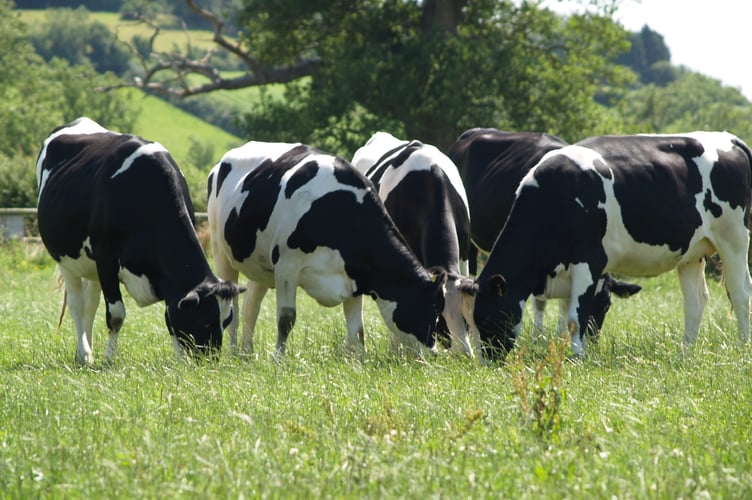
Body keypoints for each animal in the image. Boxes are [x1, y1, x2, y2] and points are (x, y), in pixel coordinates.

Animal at [36, 118, 242, 366]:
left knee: (90, 304)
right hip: (65, 258)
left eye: (226, 321)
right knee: (77, 303)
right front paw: (109, 360)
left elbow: (170, 315)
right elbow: (116, 316)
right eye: (204, 320)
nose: (210, 361)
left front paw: (179, 360)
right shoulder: (106, 257)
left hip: (91, 267)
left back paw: (87, 352)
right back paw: (84, 354)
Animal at [207, 142, 446, 360]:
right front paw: (279, 360)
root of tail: (223, 160)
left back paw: (247, 354)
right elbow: (286, 319)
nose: (434, 353)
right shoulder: (287, 265)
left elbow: (357, 329)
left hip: (262, 267)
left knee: (251, 308)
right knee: (234, 308)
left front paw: (360, 363)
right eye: (433, 310)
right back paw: (235, 353)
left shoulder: (354, 279)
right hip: (221, 251)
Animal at [446, 127, 640, 342]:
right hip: (469, 239)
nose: (591, 340)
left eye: (606, 305)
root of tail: (475, 131)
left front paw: (561, 336)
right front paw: (538, 338)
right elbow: (541, 301)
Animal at [476, 132, 752, 360]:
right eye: (474, 319)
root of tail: (729, 138)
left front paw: (578, 358)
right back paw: (685, 353)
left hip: (734, 239)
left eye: (488, 317)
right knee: (695, 301)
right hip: (693, 253)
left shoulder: (589, 259)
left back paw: (743, 347)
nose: (488, 361)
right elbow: (567, 315)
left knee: (740, 293)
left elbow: (575, 316)